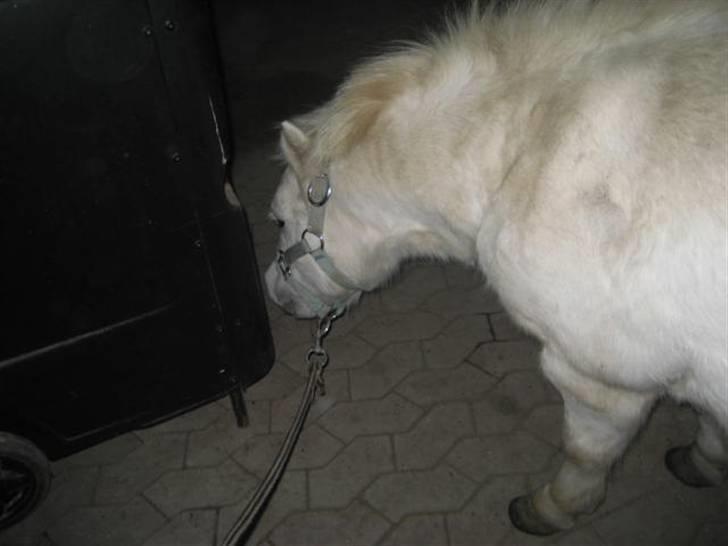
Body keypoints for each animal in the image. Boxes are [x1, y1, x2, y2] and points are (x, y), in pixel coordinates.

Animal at [264, 0, 728, 535]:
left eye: (279, 219)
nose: (272, 291)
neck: (531, 147)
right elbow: (713, 426)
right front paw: (703, 462)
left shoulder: (598, 381)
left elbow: (585, 454)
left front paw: (550, 508)